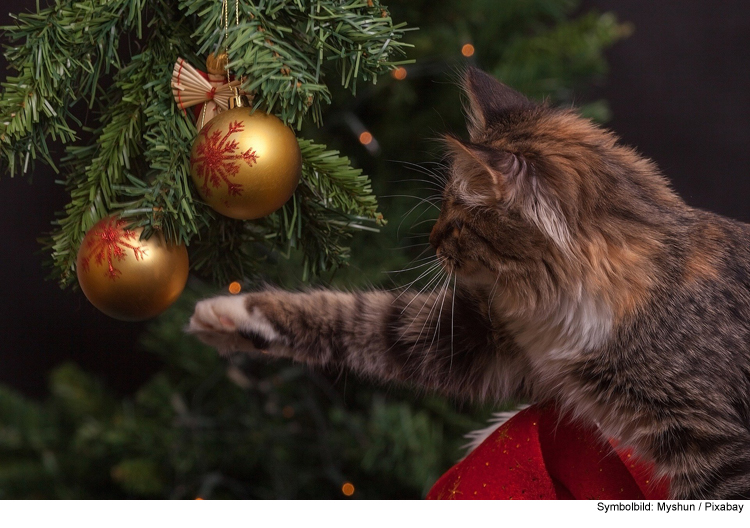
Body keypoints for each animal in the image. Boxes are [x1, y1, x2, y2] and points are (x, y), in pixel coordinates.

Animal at [187, 67, 750, 500]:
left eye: (457, 218)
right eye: (442, 207)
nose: (431, 239)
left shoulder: (715, 447)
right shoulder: (482, 340)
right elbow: (357, 318)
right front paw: (232, 316)